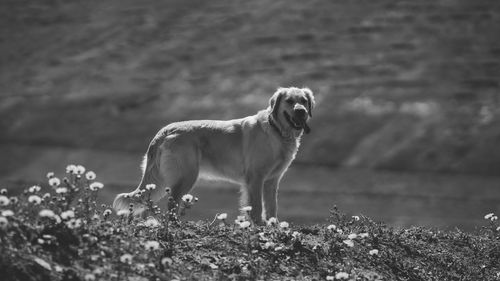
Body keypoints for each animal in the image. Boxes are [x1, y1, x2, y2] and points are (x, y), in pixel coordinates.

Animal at [115, 86, 314, 222]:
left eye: (304, 100)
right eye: (289, 101)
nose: (301, 111)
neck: (277, 130)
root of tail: (164, 131)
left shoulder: (272, 181)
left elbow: (272, 208)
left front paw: (274, 226)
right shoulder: (255, 178)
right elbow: (257, 207)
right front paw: (259, 227)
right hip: (186, 176)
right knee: (171, 204)